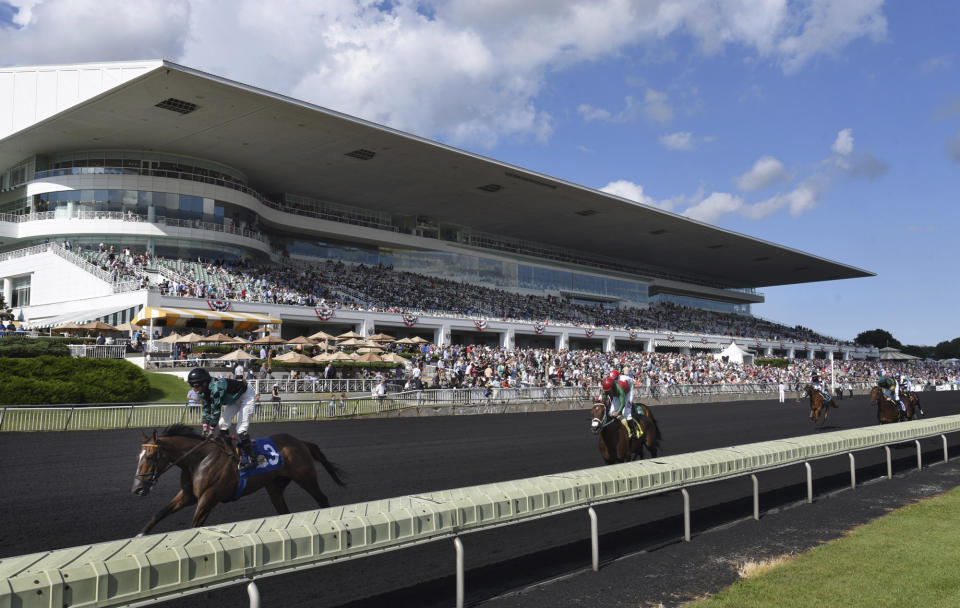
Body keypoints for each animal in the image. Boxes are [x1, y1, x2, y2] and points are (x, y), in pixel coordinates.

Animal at [132, 426, 344, 536]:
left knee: (322, 499)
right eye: (137, 456)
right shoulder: (188, 495)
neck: (199, 460)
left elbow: (195, 525)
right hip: (275, 486)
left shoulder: (208, 498)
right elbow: (159, 513)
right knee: (283, 510)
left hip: (305, 477)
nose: (137, 489)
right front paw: (140, 535)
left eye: (150, 457)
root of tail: (301, 442)